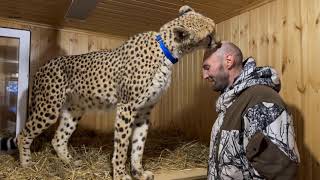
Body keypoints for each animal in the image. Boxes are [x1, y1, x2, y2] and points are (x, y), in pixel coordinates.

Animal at [0, 4, 219, 179]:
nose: (217, 43)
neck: (167, 51)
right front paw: (121, 174)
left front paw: (138, 172)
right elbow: (122, 147)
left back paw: (71, 163)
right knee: (24, 134)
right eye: (209, 35)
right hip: (49, 108)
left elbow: (138, 145)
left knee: (58, 138)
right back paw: (27, 165)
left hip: (74, 110)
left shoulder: (144, 111)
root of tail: (42, 66)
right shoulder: (126, 108)